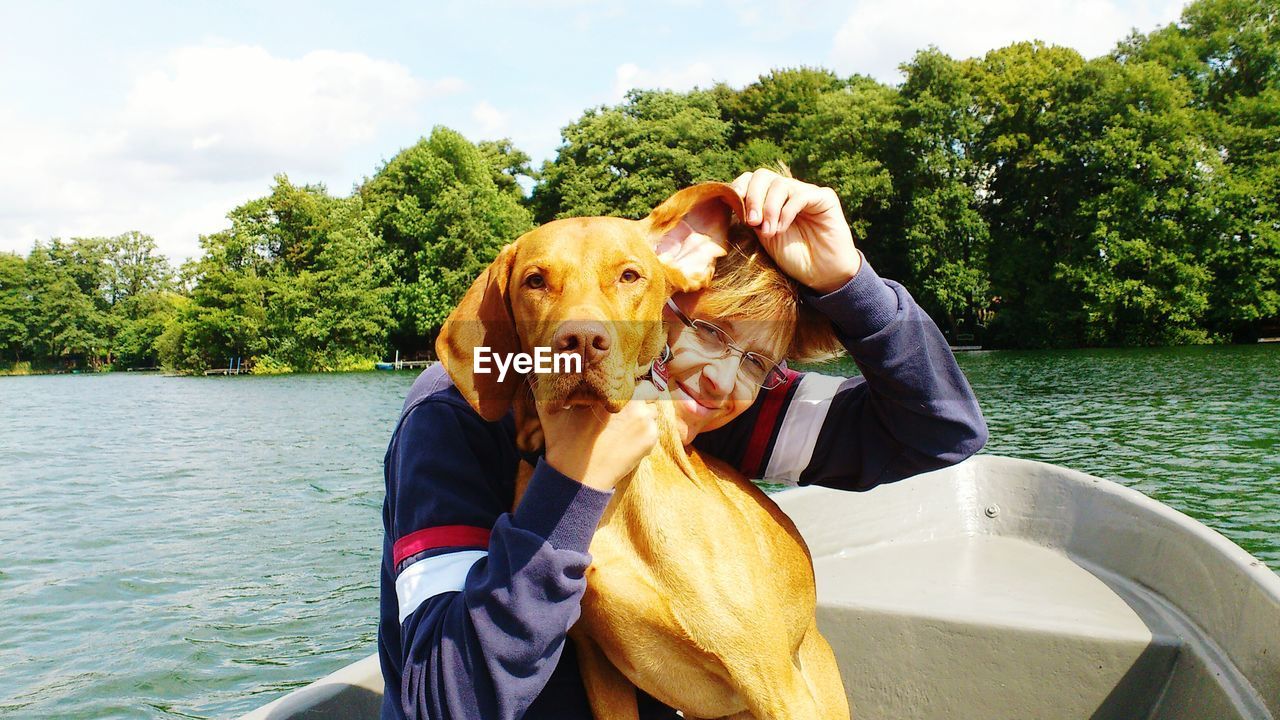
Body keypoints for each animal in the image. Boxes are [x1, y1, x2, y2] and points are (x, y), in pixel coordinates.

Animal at [435, 183, 844, 717]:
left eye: (630, 275)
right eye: (535, 281)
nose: (581, 341)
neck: (614, 491)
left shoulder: (771, 679)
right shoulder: (597, 662)